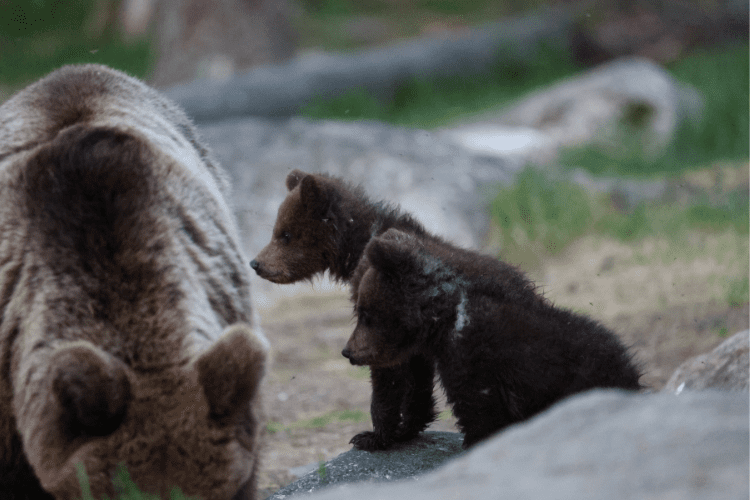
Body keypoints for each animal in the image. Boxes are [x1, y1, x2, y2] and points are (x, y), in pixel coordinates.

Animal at [250, 170, 544, 450]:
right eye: (276, 230)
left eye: (285, 234)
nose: (256, 263)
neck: (357, 248)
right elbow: (416, 375)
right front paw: (408, 427)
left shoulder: (383, 313)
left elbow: (387, 371)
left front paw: (373, 436)